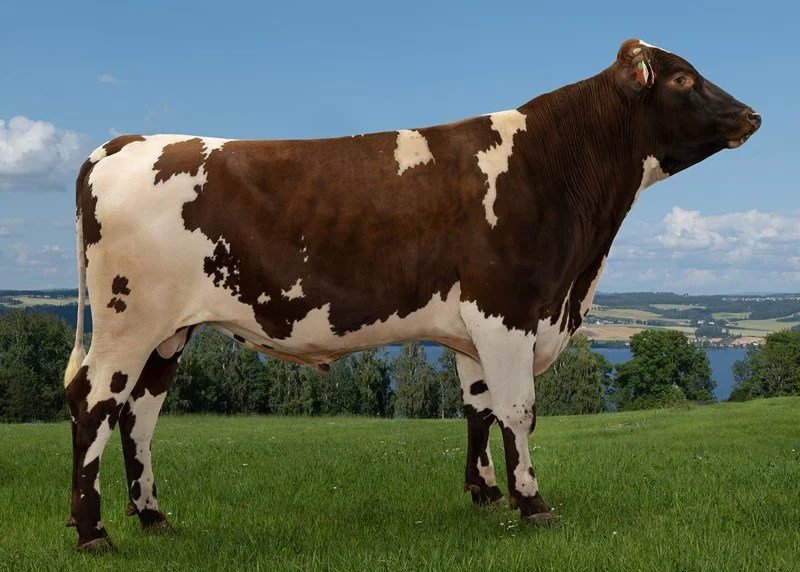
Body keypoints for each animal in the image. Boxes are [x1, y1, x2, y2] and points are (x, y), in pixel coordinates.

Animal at [63, 39, 760, 551]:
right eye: (681, 79)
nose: (751, 115)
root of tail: (124, 144)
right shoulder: (507, 311)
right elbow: (519, 410)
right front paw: (532, 503)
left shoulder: (476, 327)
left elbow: (478, 407)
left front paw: (485, 494)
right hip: (128, 321)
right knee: (95, 403)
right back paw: (94, 533)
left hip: (169, 332)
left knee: (140, 415)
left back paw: (151, 517)